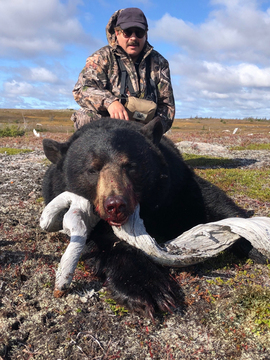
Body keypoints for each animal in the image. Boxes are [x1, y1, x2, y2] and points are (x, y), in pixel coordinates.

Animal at [42, 118, 251, 318]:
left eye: (131, 165)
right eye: (92, 169)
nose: (115, 205)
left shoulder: (176, 183)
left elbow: (210, 201)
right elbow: (104, 244)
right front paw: (147, 288)